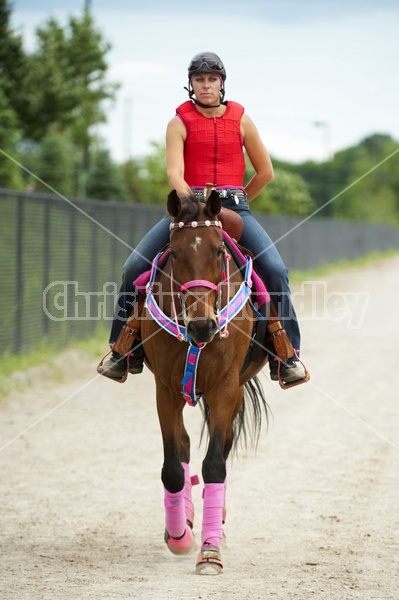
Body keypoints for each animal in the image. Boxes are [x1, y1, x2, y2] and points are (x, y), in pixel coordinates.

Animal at [140, 190, 268, 576]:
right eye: (175, 252)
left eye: (217, 250)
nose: (202, 326)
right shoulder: (165, 389)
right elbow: (171, 467)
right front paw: (179, 538)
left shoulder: (226, 387)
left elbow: (214, 464)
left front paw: (210, 553)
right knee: (183, 447)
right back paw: (186, 521)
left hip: (235, 390)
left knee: (222, 447)